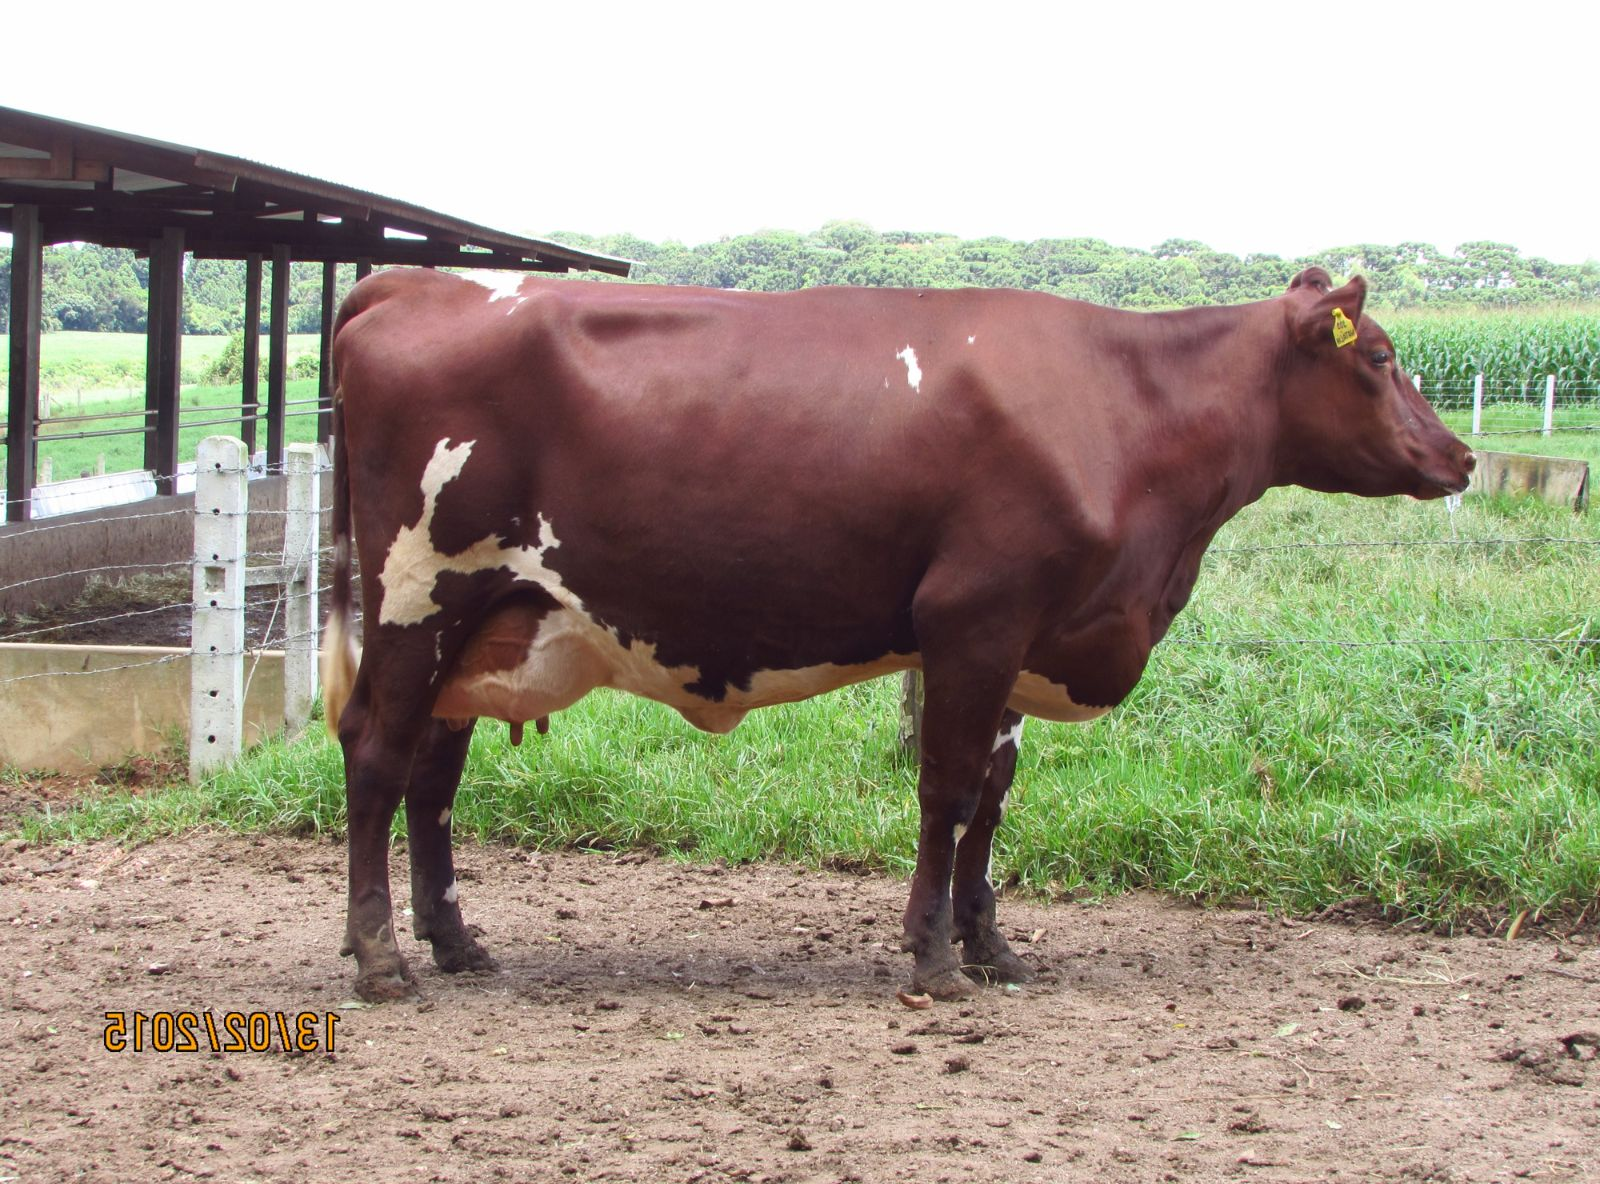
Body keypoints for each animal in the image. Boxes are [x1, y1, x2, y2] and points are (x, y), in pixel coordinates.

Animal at [322, 265, 1474, 1004]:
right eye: (1378, 356)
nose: (1460, 457)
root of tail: (414, 281)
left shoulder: (1025, 637)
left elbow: (995, 801)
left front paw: (993, 945)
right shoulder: (975, 616)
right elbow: (948, 793)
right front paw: (933, 959)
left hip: (481, 623)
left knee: (431, 775)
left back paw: (458, 943)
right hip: (416, 596)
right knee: (376, 754)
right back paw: (380, 959)